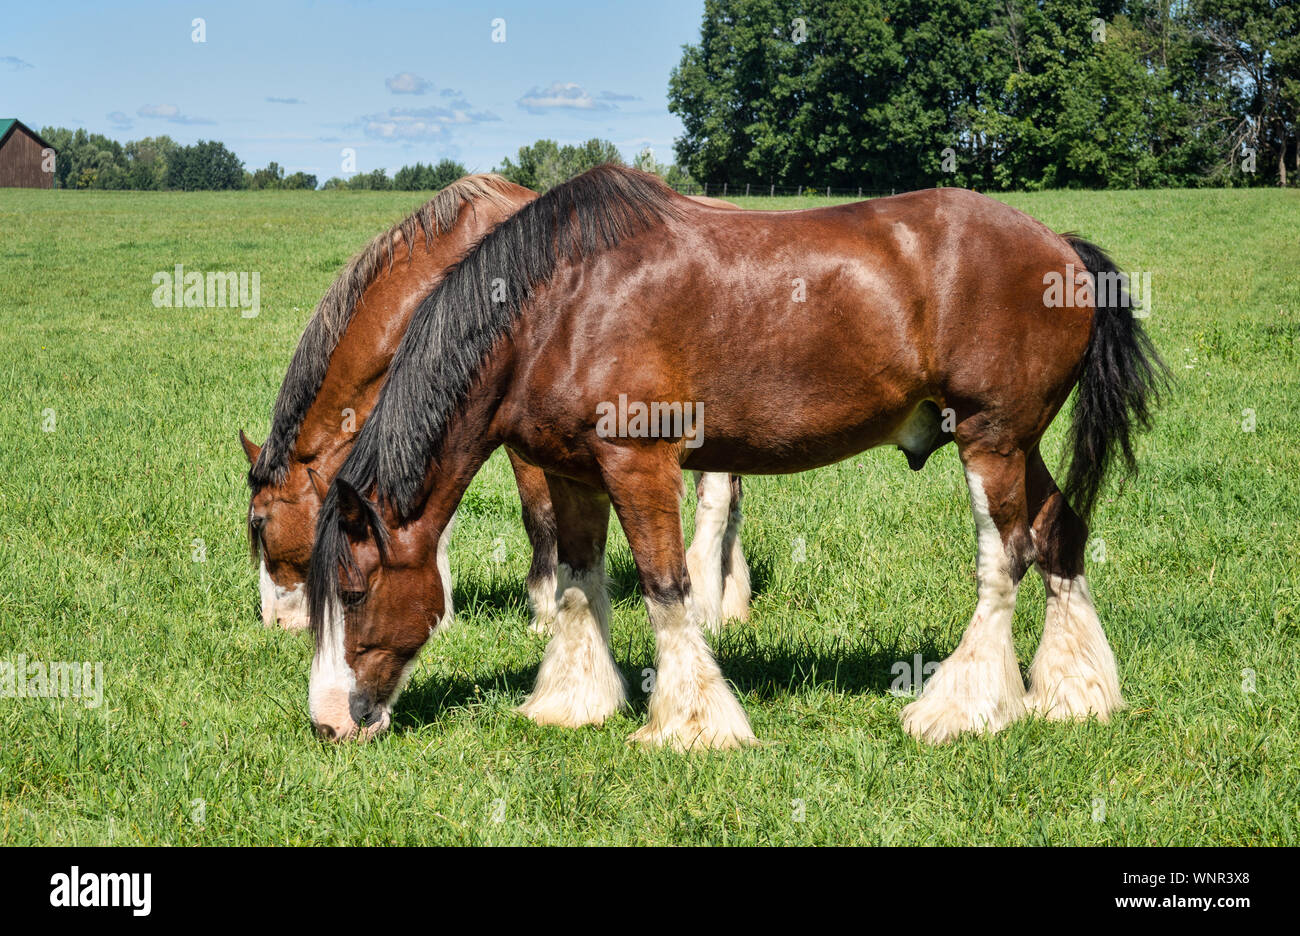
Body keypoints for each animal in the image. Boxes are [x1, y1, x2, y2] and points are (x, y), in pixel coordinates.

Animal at [243, 174, 748, 637]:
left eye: (260, 525)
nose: (275, 623)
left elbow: (539, 515)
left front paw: (543, 610)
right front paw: (440, 614)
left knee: (716, 501)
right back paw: (733, 602)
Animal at [309, 164, 1164, 748]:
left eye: (351, 592)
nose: (327, 723)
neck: (560, 309)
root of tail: (1061, 249)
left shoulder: (639, 462)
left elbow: (665, 587)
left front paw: (692, 724)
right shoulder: (572, 471)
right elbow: (582, 583)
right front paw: (573, 702)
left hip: (992, 439)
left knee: (1005, 557)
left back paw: (959, 707)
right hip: (1017, 442)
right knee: (1060, 533)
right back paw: (1075, 692)